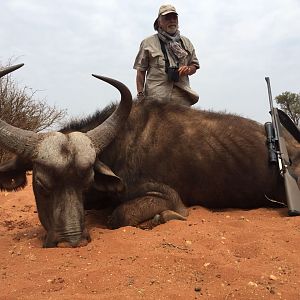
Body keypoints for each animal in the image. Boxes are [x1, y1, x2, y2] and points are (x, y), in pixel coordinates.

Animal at [0, 64, 300, 247]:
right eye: (41, 184)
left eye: (86, 183)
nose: (70, 241)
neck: (120, 144)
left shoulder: (168, 197)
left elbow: (119, 216)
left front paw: (162, 219)